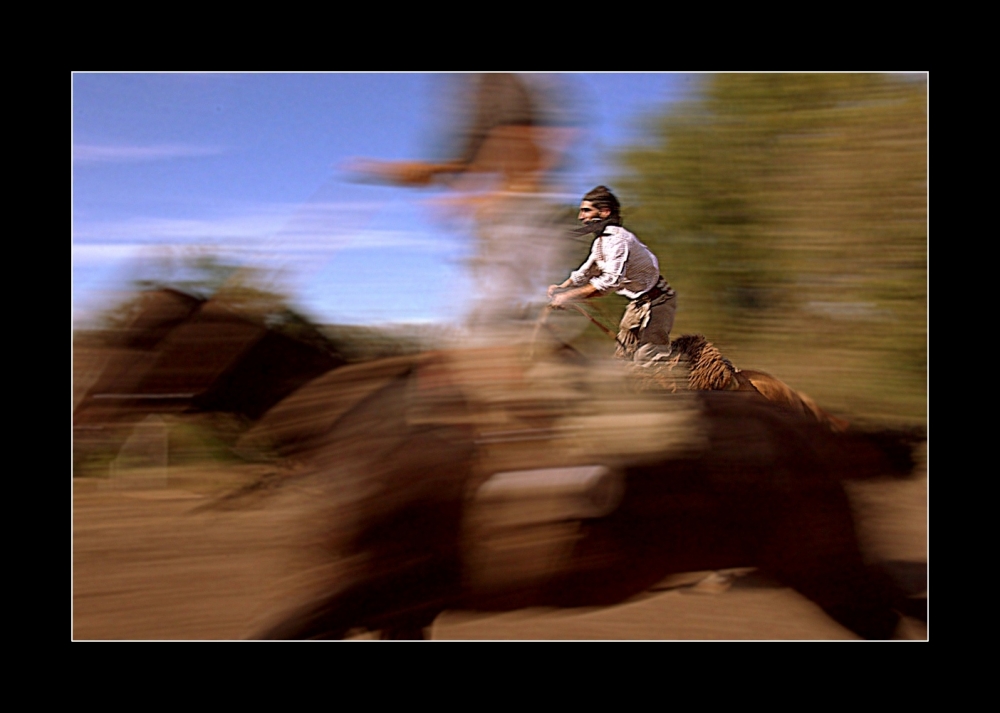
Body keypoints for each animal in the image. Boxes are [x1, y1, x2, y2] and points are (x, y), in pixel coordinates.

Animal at [252, 346, 920, 640]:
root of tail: (806, 425)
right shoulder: (402, 604)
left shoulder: (371, 588)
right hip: (822, 560)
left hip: (823, 563)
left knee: (883, 608)